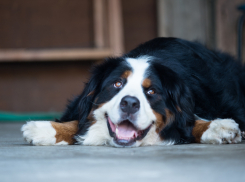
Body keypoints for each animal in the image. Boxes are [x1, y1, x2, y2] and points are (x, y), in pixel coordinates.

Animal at [21, 37, 245, 147]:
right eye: (117, 84)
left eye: (152, 91)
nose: (129, 103)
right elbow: (76, 122)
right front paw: (43, 129)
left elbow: (190, 122)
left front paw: (218, 127)